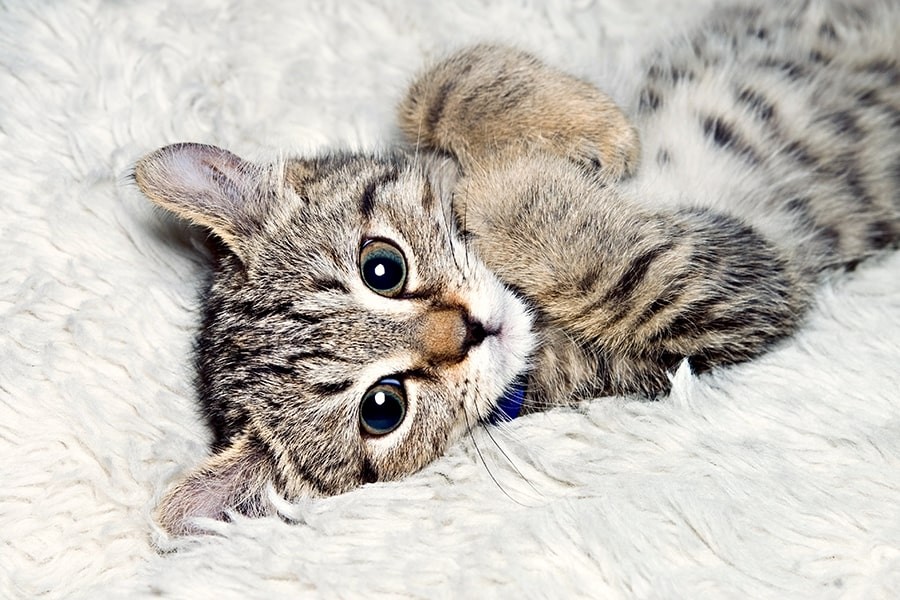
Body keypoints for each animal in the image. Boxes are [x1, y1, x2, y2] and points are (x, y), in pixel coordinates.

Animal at [135, 0, 900, 536]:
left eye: (382, 267)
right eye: (383, 409)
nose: (469, 331)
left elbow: (434, 87)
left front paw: (586, 126)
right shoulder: (736, 301)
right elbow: (636, 274)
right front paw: (502, 187)